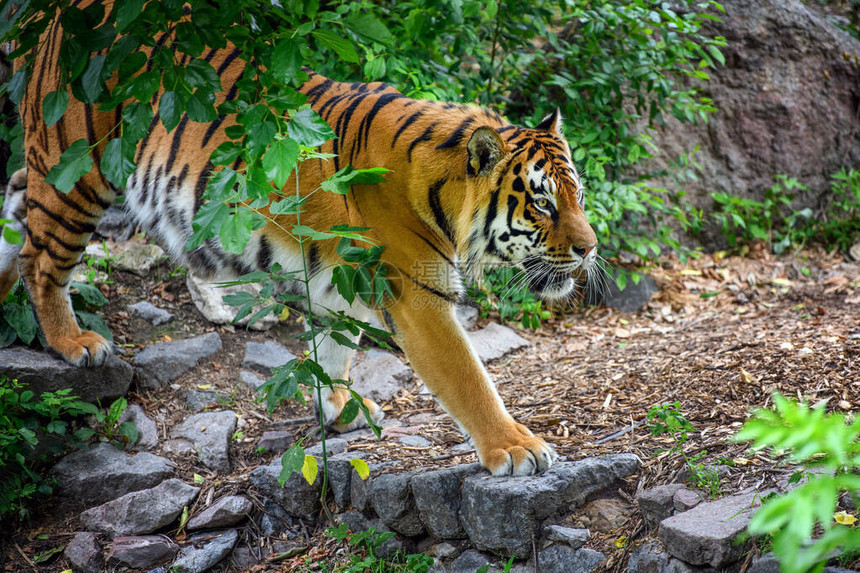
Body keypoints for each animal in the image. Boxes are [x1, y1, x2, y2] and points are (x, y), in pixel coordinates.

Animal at [1, 11, 596, 476]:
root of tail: (56, 23)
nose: (590, 249)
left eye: (578, 196)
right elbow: (468, 377)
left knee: (14, 206)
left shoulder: (342, 276)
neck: (443, 192)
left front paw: (339, 408)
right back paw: (74, 342)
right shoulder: (419, 296)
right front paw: (517, 448)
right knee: (40, 259)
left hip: (78, 181)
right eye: (543, 203)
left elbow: (333, 346)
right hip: (78, 172)